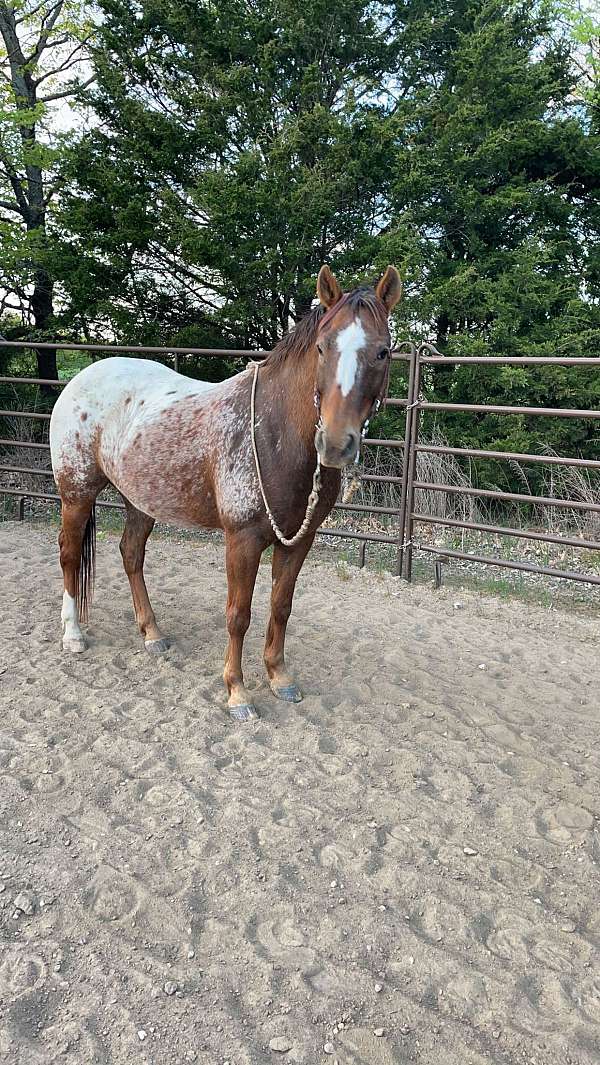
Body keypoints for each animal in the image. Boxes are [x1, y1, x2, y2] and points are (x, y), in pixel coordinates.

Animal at [50, 261, 398, 719]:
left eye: (383, 352)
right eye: (322, 348)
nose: (336, 444)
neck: (273, 432)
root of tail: (80, 379)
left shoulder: (299, 541)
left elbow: (280, 607)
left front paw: (279, 677)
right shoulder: (242, 540)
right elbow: (238, 614)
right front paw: (237, 691)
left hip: (140, 499)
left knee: (130, 553)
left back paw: (152, 633)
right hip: (76, 493)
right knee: (71, 555)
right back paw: (73, 635)